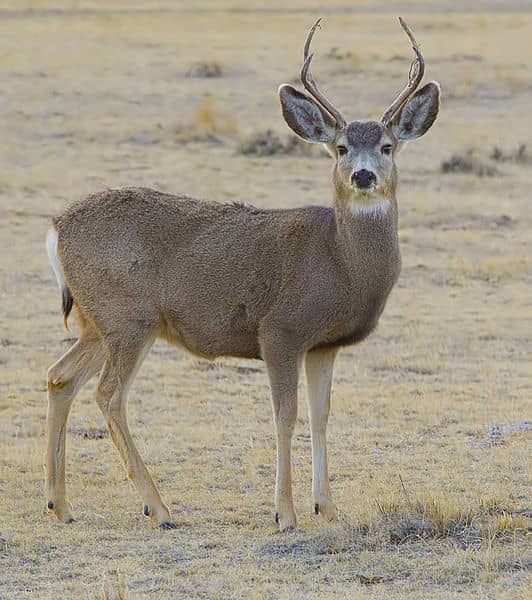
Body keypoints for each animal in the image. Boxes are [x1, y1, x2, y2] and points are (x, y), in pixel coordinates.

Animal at [42, 16, 440, 528]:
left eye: (387, 147)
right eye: (341, 148)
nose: (364, 175)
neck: (340, 261)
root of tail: (56, 228)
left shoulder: (324, 344)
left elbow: (322, 414)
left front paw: (327, 507)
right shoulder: (280, 330)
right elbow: (285, 415)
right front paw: (285, 513)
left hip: (98, 321)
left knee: (60, 377)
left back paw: (61, 504)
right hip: (129, 318)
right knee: (108, 393)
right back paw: (158, 506)